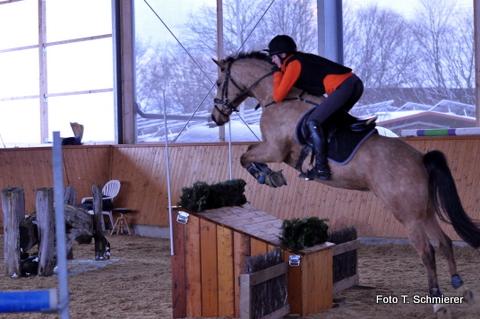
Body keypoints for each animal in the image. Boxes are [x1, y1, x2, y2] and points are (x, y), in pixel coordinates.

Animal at [211, 51, 480, 314]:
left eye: (218, 83)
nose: (216, 117)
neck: (277, 98)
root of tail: (421, 159)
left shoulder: (275, 150)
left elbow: (246, 155)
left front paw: (266, 175)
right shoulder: (272, 150)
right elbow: (248, 153)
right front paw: (269, 175)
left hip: (408, 215)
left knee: (427, 251)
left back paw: (437, 300)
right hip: (424, 211)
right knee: (444, 242)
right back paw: (461, 287)